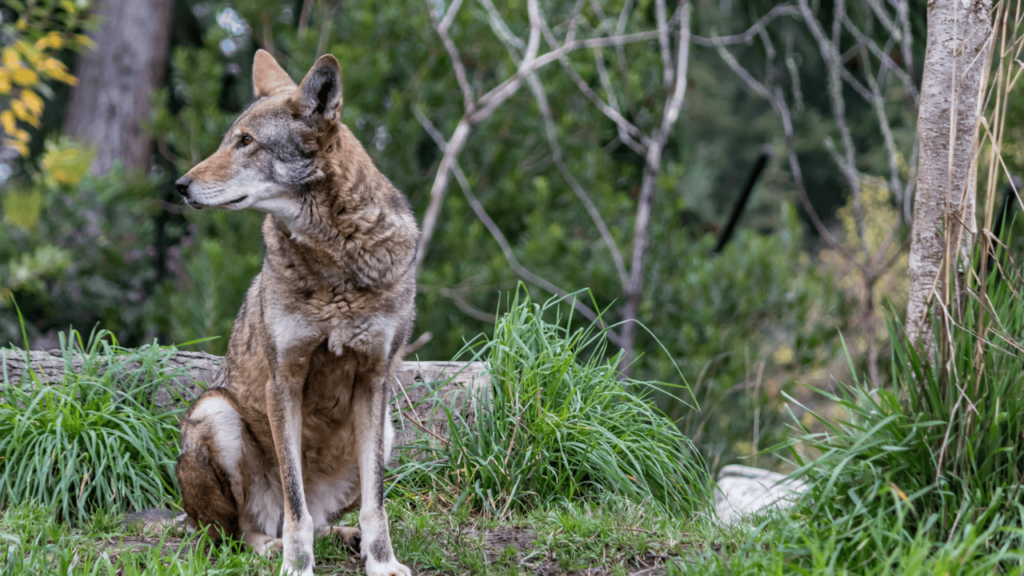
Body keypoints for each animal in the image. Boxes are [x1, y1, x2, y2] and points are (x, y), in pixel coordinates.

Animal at [172, 49, 417, 576]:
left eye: (246, 142)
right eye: (228, 140)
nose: (180, 185)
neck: (336, 262)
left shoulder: (375, 379)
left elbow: (376, 505)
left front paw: (382, 563)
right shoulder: (283, 379)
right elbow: (295, 504)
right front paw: (296, 565)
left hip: (388, 430)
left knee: (324, 517)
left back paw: (344, 537)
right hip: (214, 413)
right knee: (240, 530)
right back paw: (268, 546)